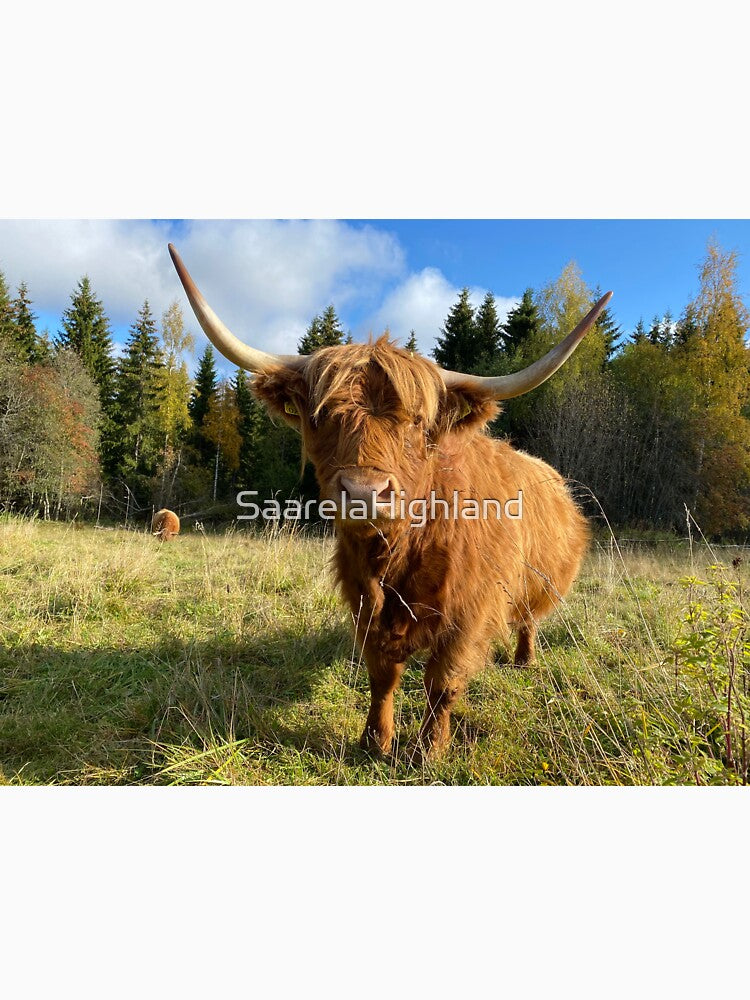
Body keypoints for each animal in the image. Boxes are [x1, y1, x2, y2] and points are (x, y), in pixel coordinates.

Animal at [169, 244, 610, 757]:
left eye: (417, 422)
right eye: (320, 417)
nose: (363, 493)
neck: (397, 556)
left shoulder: (471, 610)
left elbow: (442, 683)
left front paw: (429, 751)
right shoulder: (363, 598)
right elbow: (381, 674)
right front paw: (374, 740)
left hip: (539, 584)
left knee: (528, 621)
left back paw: (523, 660)